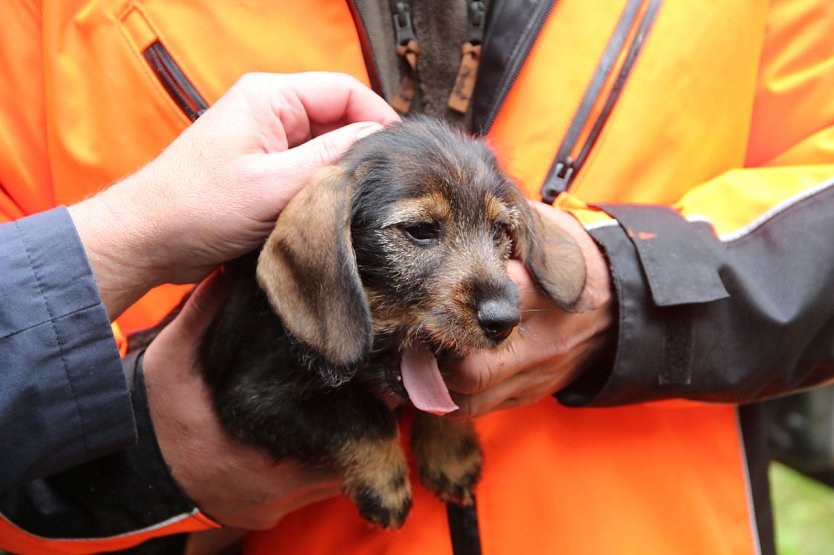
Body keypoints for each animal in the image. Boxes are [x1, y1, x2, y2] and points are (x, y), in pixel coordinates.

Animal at [197, 118, 580, 528]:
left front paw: (451, 453)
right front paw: (385, 483)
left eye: (499, 231)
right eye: (421, 230)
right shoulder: (250, 397)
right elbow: (363, 413)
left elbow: (446, 395)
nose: (504, 320)